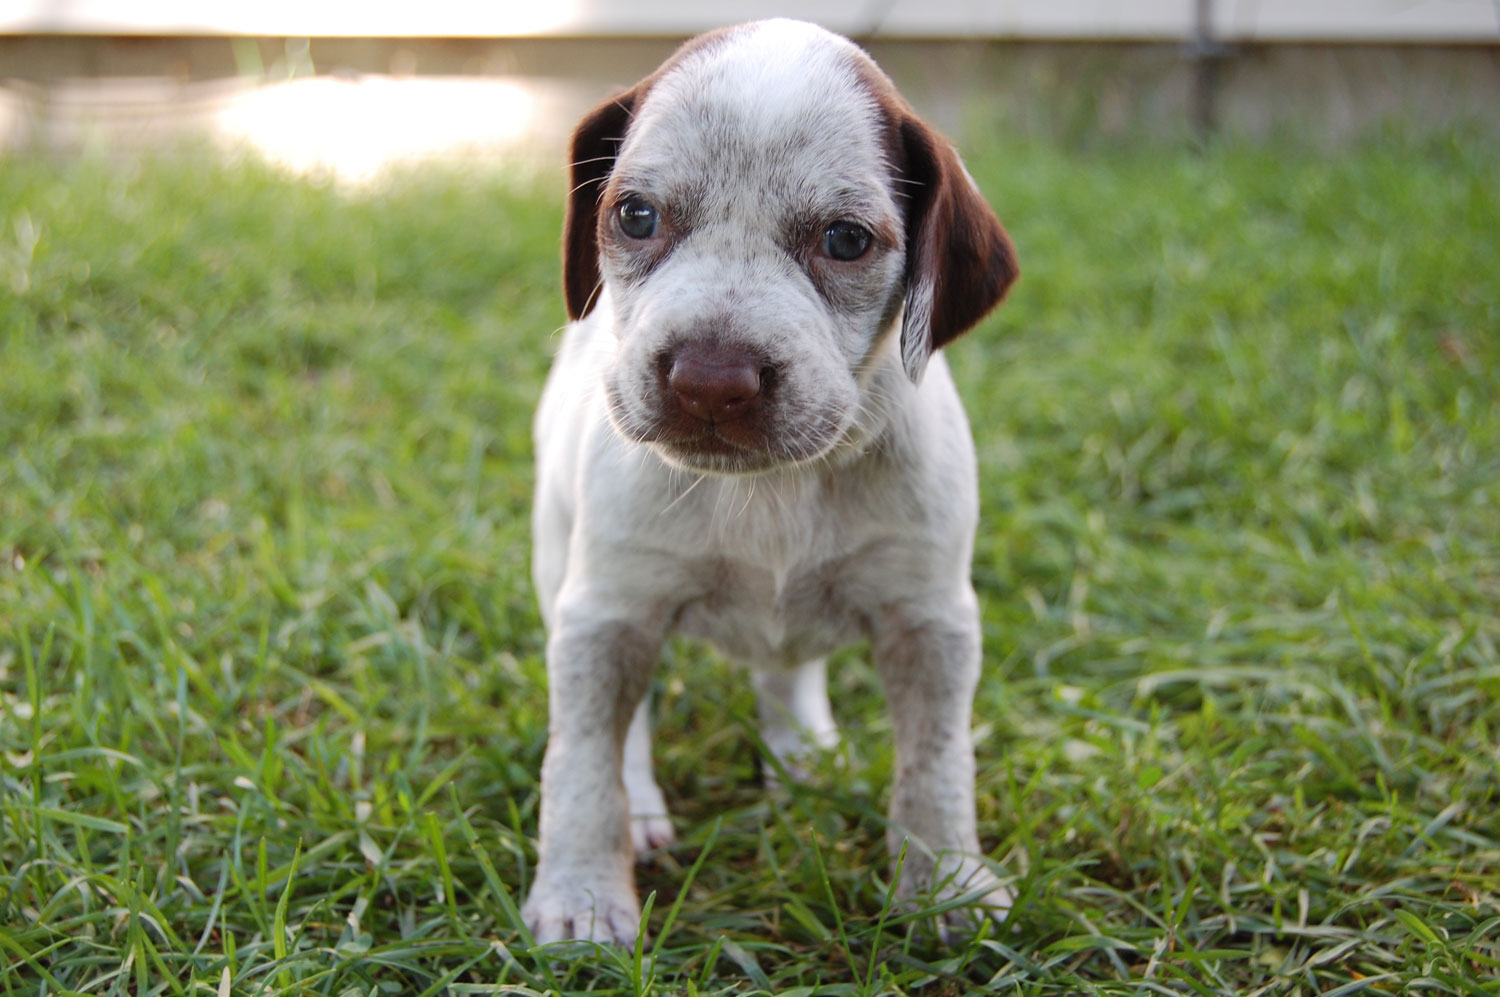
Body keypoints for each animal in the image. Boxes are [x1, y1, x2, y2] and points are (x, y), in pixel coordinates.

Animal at [525, 19, 1020, 947]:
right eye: (635, 216)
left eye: (847, 239)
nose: (709, 383)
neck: (772, 486)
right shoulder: (606, 613)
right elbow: (580, 764)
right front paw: (581, 896)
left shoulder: (931, 621)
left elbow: (937, 763)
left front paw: (946, 882)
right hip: (561, 563)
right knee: (619, 729)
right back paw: (643, 806)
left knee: (786, 669)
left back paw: (805, 753)